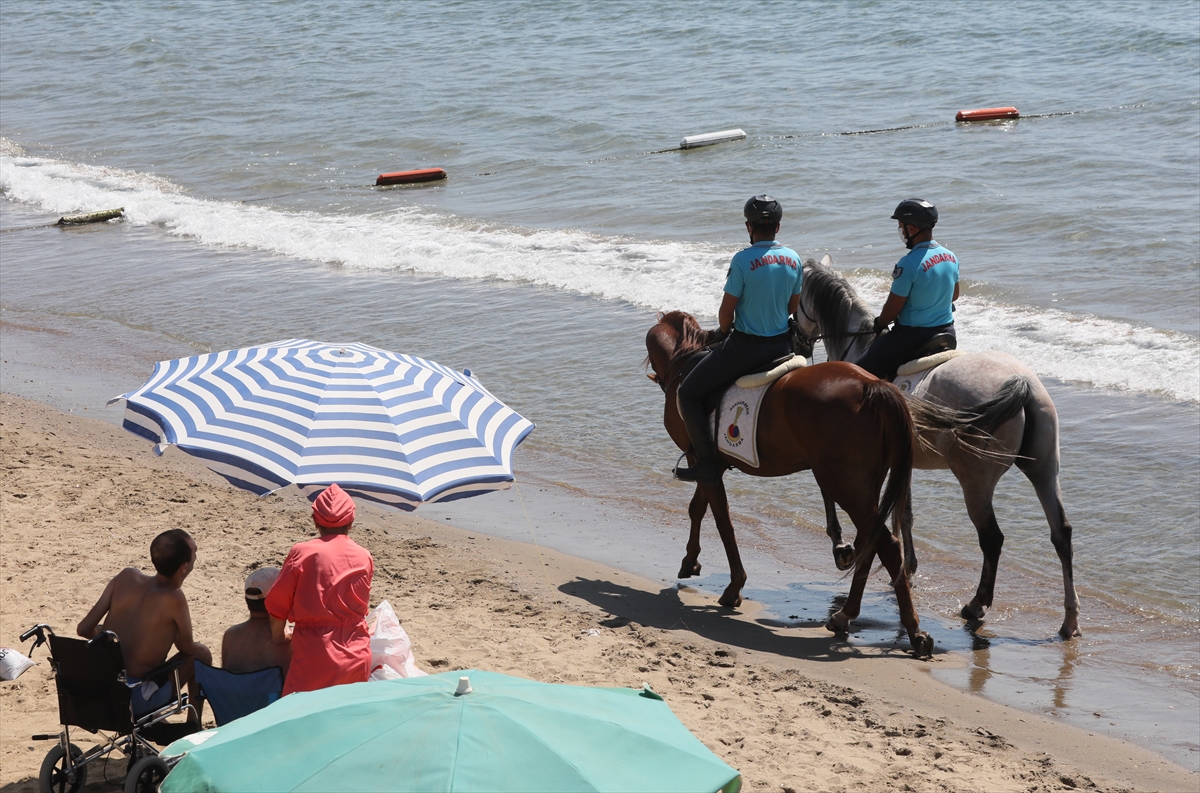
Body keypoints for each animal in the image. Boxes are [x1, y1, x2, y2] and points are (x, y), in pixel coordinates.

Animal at [648, 309, 936, 657]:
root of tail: (872, 385)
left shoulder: (700, 460)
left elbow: (720, 520)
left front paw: (733, 586)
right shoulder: (709, 465)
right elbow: (699, 508)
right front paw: (691, 560)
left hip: (845, 485)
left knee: (888, 547)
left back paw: (913, 631)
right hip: (862, 488)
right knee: (871, 543)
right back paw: (845, 615)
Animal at [796, 257, 1080, 638]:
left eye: (796, 298)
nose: (797, 339)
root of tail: (1021, 383)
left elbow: (846, 499)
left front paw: (843, 547)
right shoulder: (901, 463)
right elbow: (903, 513)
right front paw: (906, 566)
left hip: (975, 480)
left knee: (992, 539)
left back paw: (977, 604)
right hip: (1044, 468)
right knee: (1060, 533)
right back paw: (1069, 619)